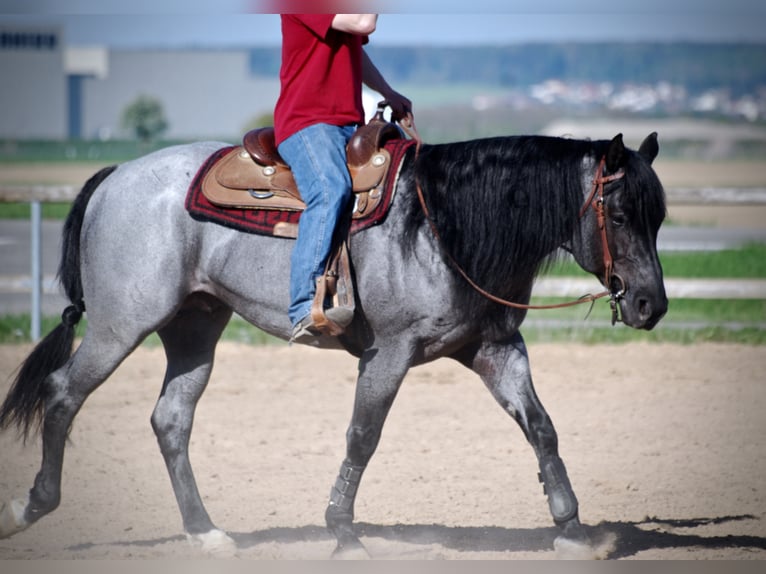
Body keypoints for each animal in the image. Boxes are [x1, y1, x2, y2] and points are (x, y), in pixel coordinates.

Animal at [0, 129, 668, 560]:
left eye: (658, 217)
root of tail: (117, 176)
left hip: (195, 327)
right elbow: (363, 435)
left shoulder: (496, 348)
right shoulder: (390, 354)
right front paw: (343, 533)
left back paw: (205, 532)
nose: (650, 305)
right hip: (121, 326)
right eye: (618, 213)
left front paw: (572, 529)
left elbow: (541, 427)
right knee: (62, 394)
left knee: (171, 420)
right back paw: (29, 508)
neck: (440, 225)